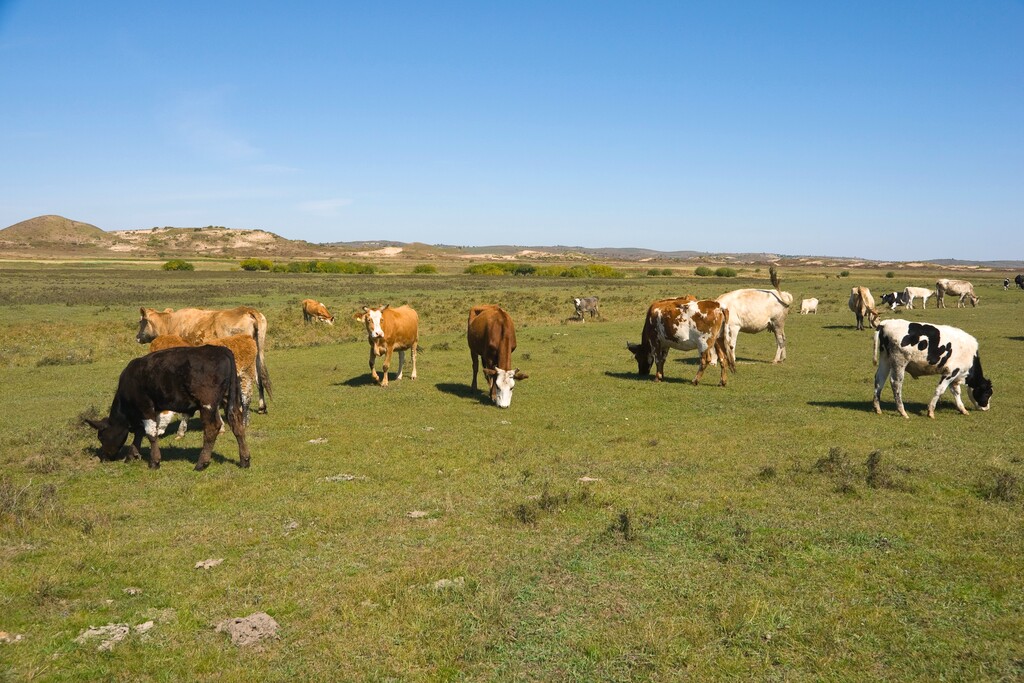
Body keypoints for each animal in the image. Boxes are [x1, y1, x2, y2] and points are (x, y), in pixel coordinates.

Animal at [82, 348, 249, 471]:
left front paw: (154, 461)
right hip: (229, 399)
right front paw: (132, 455)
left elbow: (150, 433)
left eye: (101, 437)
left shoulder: (145, 405)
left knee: (212, 428)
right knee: (237, 425)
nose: (104, 457)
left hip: (207, 403)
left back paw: (201, 463)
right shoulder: (151, 409)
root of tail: (220, 349)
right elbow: (140, 432)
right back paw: (245, 460)